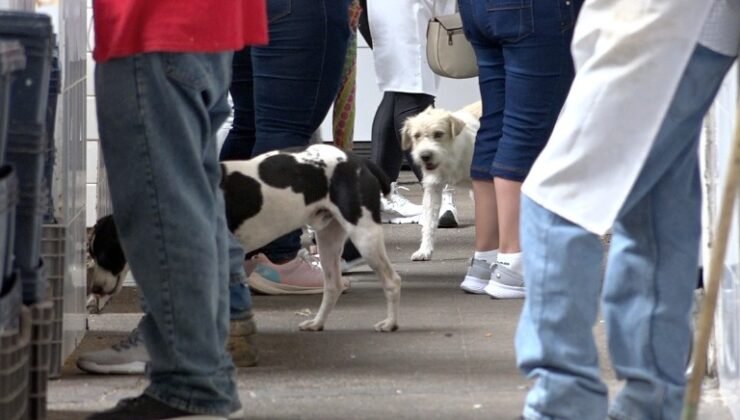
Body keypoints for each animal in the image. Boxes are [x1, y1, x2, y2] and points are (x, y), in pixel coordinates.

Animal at [92, 144, 404, 332]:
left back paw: (390, 323)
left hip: (364, 235)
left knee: (391, 280)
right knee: (333, 285)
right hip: (328, 238)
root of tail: (358, 160)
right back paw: (316, 323)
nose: (94, 289)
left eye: (104, 254)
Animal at [402, 101, 482, 260]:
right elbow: (429, 223)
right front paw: (424, 250)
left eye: (438, 134)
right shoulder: (432, 189)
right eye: (416, 135)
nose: (425, 156)